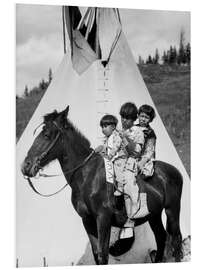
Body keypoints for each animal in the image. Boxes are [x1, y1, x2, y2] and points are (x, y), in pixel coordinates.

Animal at [21, 106, 183, 264]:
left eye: (46, 134)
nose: (26, 166)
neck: (87, 176)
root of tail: (175, 171)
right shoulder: (87, 220)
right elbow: (96, 254)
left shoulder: (103, 219)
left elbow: (103, 255)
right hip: (154, 215)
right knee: (161, 237)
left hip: (172, 210)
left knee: (176, 240)